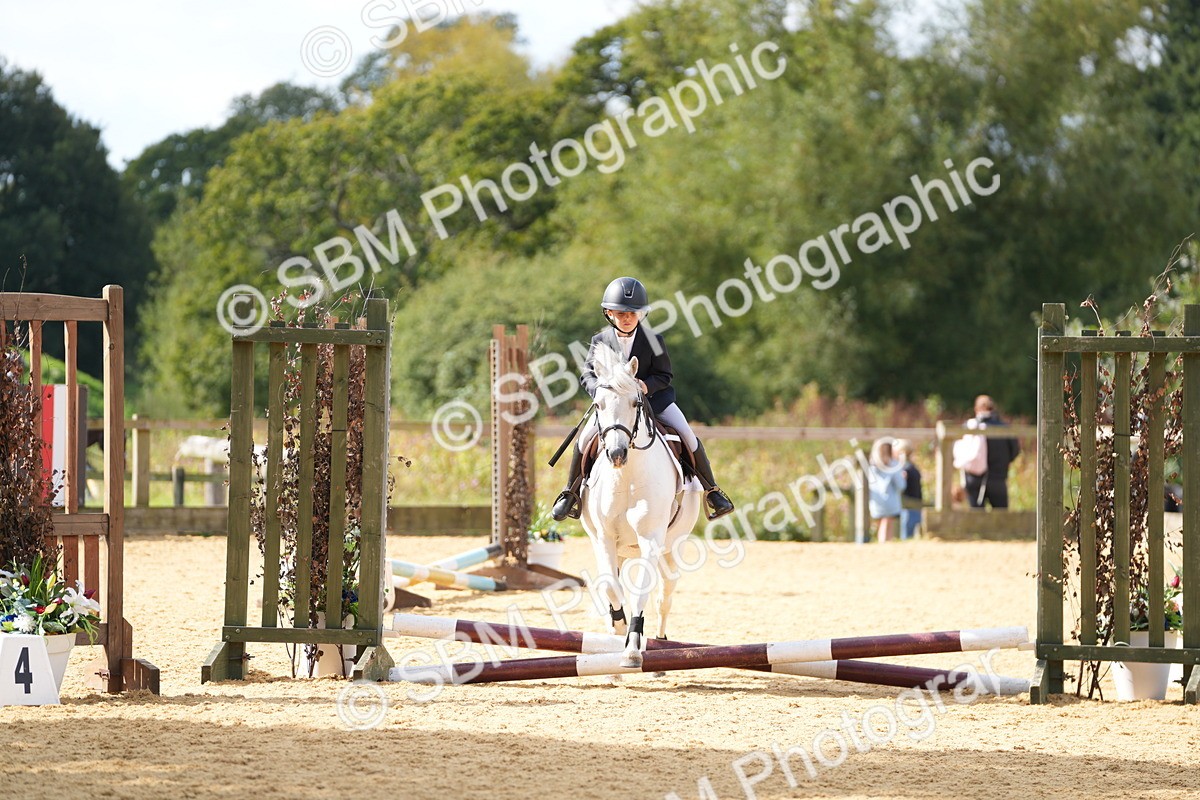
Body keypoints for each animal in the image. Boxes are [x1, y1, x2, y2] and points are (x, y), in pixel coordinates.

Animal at [579, 344, 702, 668]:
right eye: (598, 405)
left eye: (635, 403)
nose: (617, 454)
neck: (627, 476)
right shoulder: (605, 538)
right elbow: (611, 587)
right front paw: (618, 625)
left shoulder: (650, 538)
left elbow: (642, 591)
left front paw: (632, 648)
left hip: (669, 545)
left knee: (666, 591)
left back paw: (660, 641)